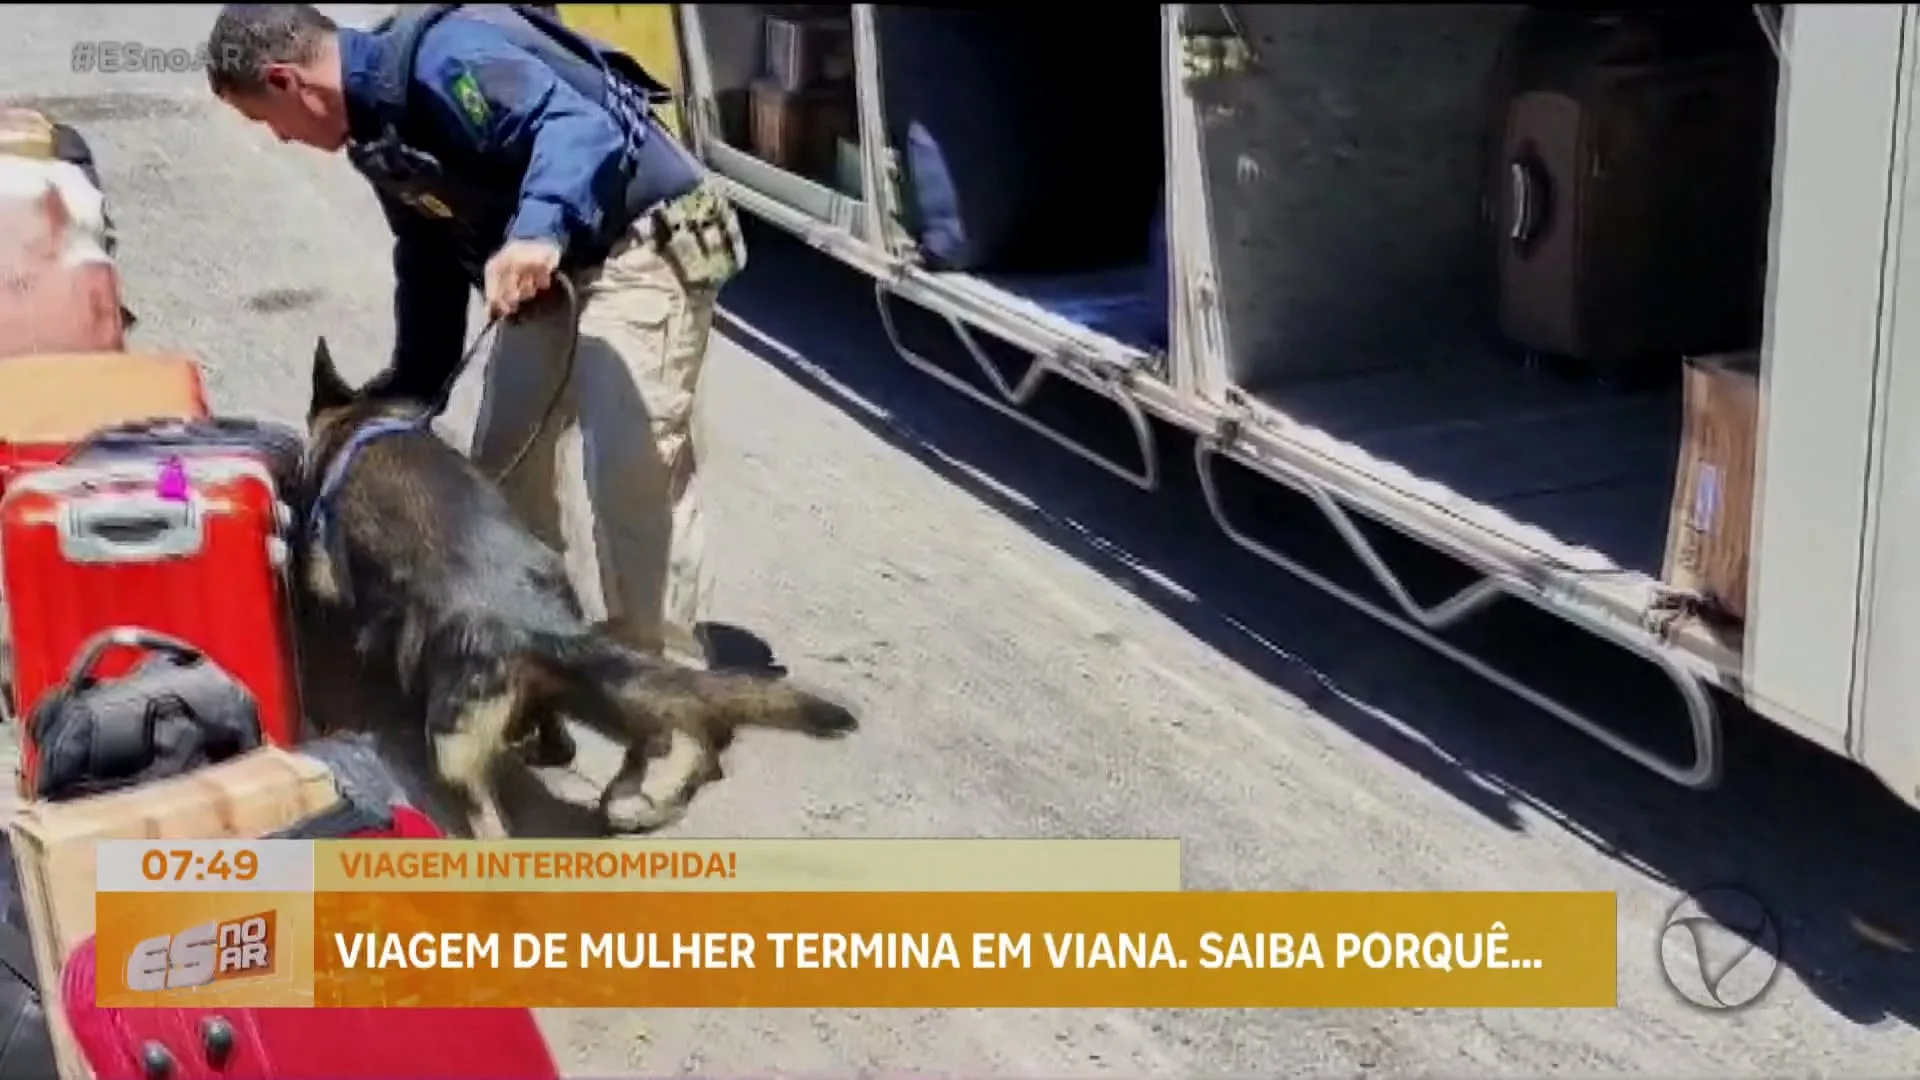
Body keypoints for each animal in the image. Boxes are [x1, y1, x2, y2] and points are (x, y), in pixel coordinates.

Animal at [297, 336, 856, 834]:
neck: (362, 423)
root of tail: (535, 616)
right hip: (570, 684)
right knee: (569, 736)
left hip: (454, 745)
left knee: (490, 818)